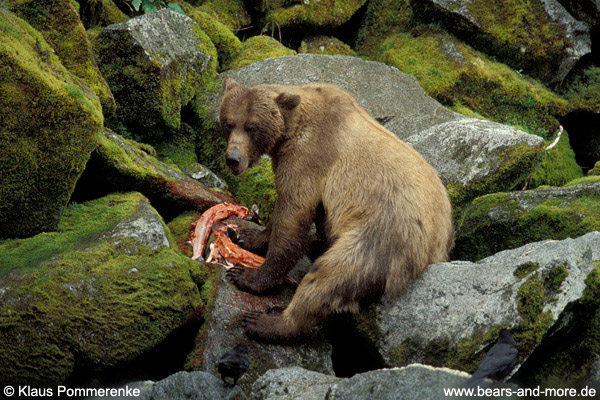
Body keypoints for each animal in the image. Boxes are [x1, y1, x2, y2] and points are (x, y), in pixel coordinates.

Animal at [220, 76, 454, 342]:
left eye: (252, 127)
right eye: (228, 123)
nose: (233, 159)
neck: (292, 128)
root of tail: (436, 245)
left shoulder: (310, 157)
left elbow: (293, 217)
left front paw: (247, 276)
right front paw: (246, 235)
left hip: (380, 239)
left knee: (329, 278)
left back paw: (267, 322)